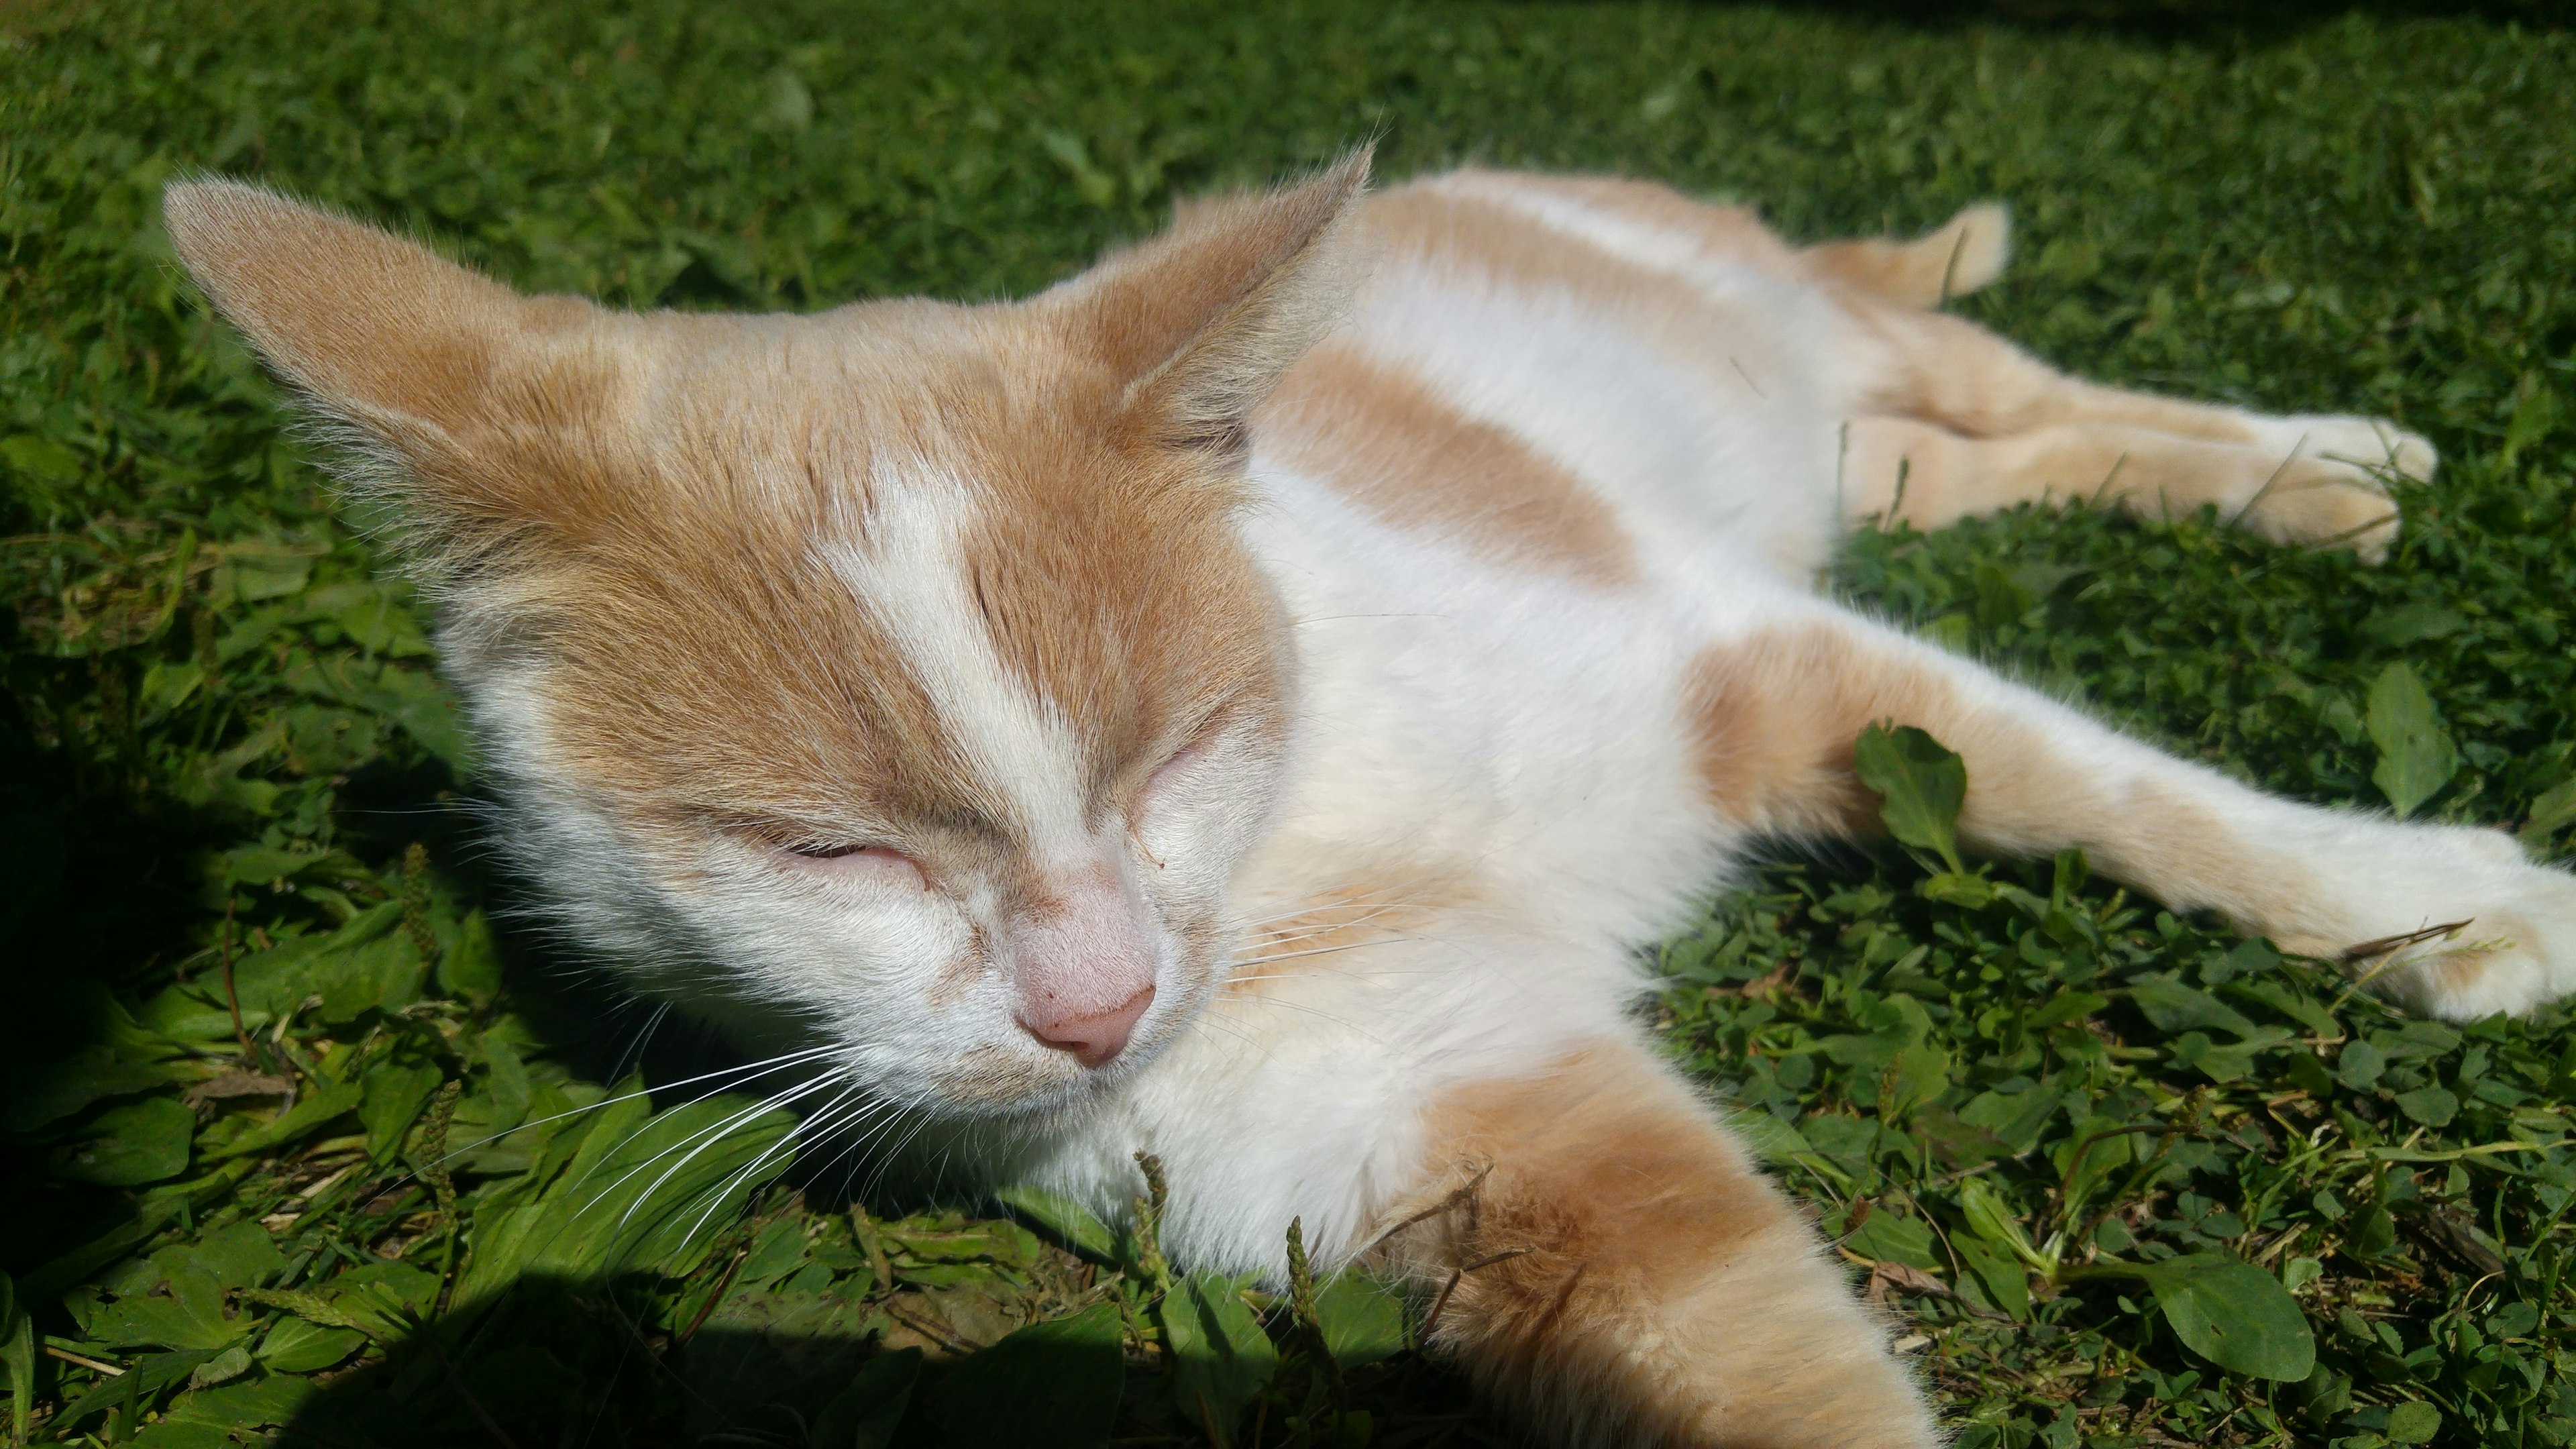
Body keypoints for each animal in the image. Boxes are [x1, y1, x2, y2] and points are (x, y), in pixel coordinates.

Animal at [166, 152, 2576, 1433]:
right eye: (826, 850)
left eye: (1169, 748)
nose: (1095, 1002)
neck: (1309, 811)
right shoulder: (1457, 1138)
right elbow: (1745, 1349)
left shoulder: (1739, 652)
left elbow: (2109, 785)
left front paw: (2440, 900)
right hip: (1845, 461)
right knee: (1959, 459)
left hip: (1787, 335)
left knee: (2002, 370)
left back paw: (2321, 461)